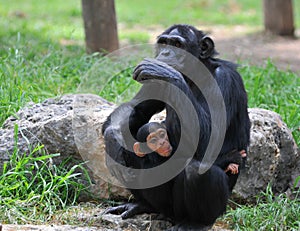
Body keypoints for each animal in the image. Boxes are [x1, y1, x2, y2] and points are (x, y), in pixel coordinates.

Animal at [103, 23, 251, 229]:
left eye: (177, 44)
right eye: (164, 43)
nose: (166, 53)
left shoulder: (225, 78)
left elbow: (211, 139)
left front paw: (167, 72)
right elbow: (136, 109)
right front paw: (111, 139)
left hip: (210, 209)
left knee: (197, 171)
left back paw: (196, 223)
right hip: (164, 205)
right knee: (130, 146)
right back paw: (141, 205)